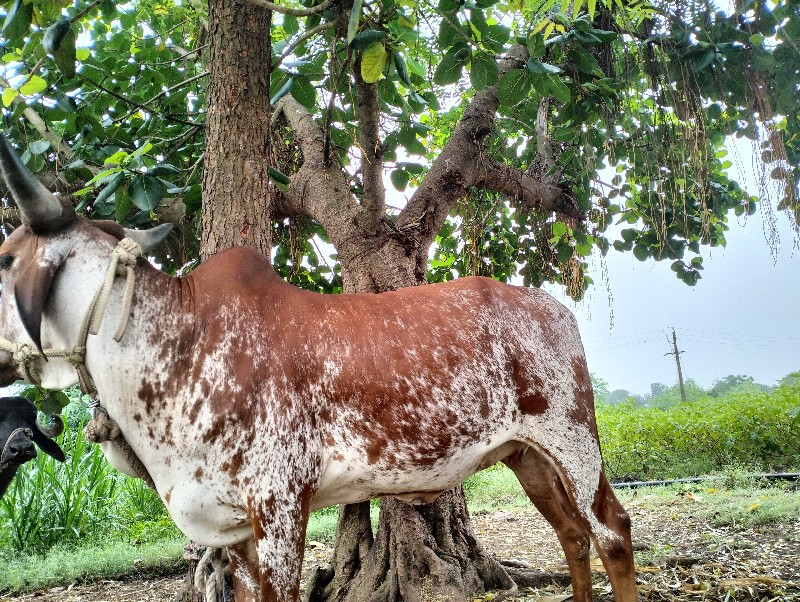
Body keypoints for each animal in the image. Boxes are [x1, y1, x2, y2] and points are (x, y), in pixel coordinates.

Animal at [0, 134, 636, 596]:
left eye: (6, 257)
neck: (176, 345)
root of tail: (553, 307)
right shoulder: (235, 530)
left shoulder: (281, 505)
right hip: (526, 455)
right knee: (572, 536)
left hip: (572, 437)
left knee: (612, 533)